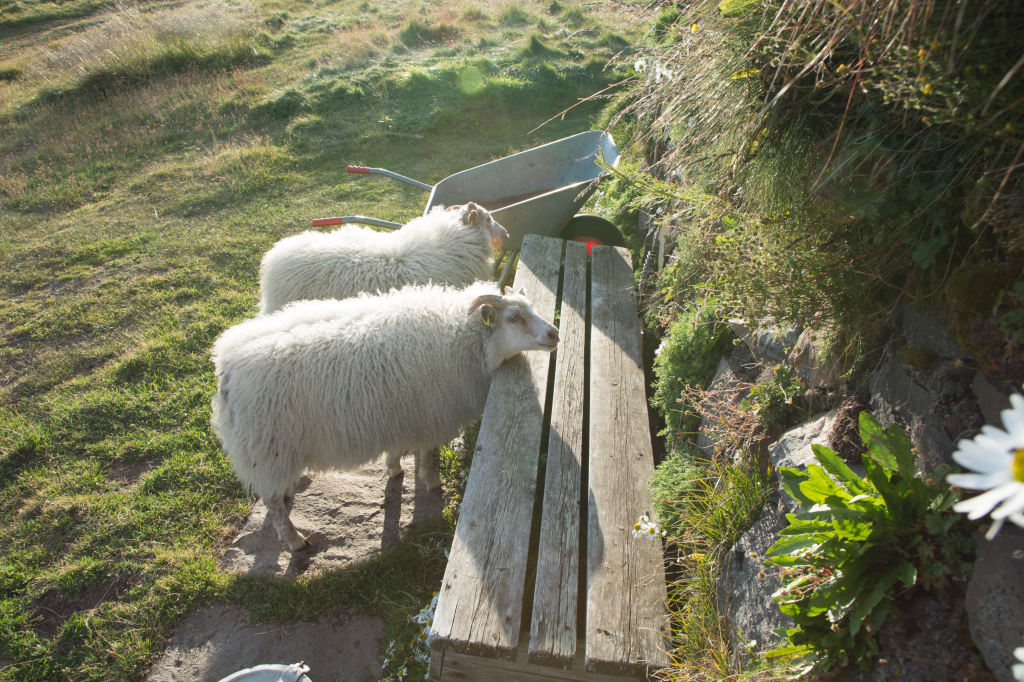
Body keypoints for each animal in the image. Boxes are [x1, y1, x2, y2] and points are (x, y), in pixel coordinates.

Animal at [210, 281, 559, 551]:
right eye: (514, 317)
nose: (554, 334)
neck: (459, 335)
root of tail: (225, 367)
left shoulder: (399, 413)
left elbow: (397, 450)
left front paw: (394, 469)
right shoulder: (430, 414)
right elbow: (427, 454)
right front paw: (432, 482)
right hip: (268, 446)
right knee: (270, 500)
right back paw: (295, 540)